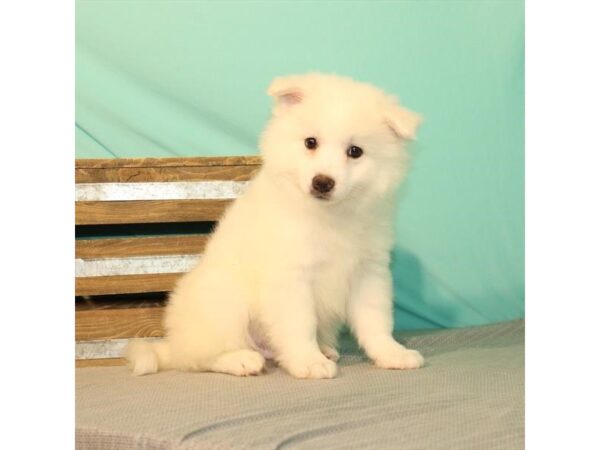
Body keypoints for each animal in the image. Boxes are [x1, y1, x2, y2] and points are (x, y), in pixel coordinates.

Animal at [125, 74, 424, 380]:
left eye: (355, 151)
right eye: (310, 142)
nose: (322, 182)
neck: (330, 216)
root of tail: (173, 343)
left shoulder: (368, 272)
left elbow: (375, 321)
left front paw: (392, 353)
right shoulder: (290, 276)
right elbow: (300, 324)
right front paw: (309, 361)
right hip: (224, 301)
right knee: (198, 357)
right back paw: (242, 360)